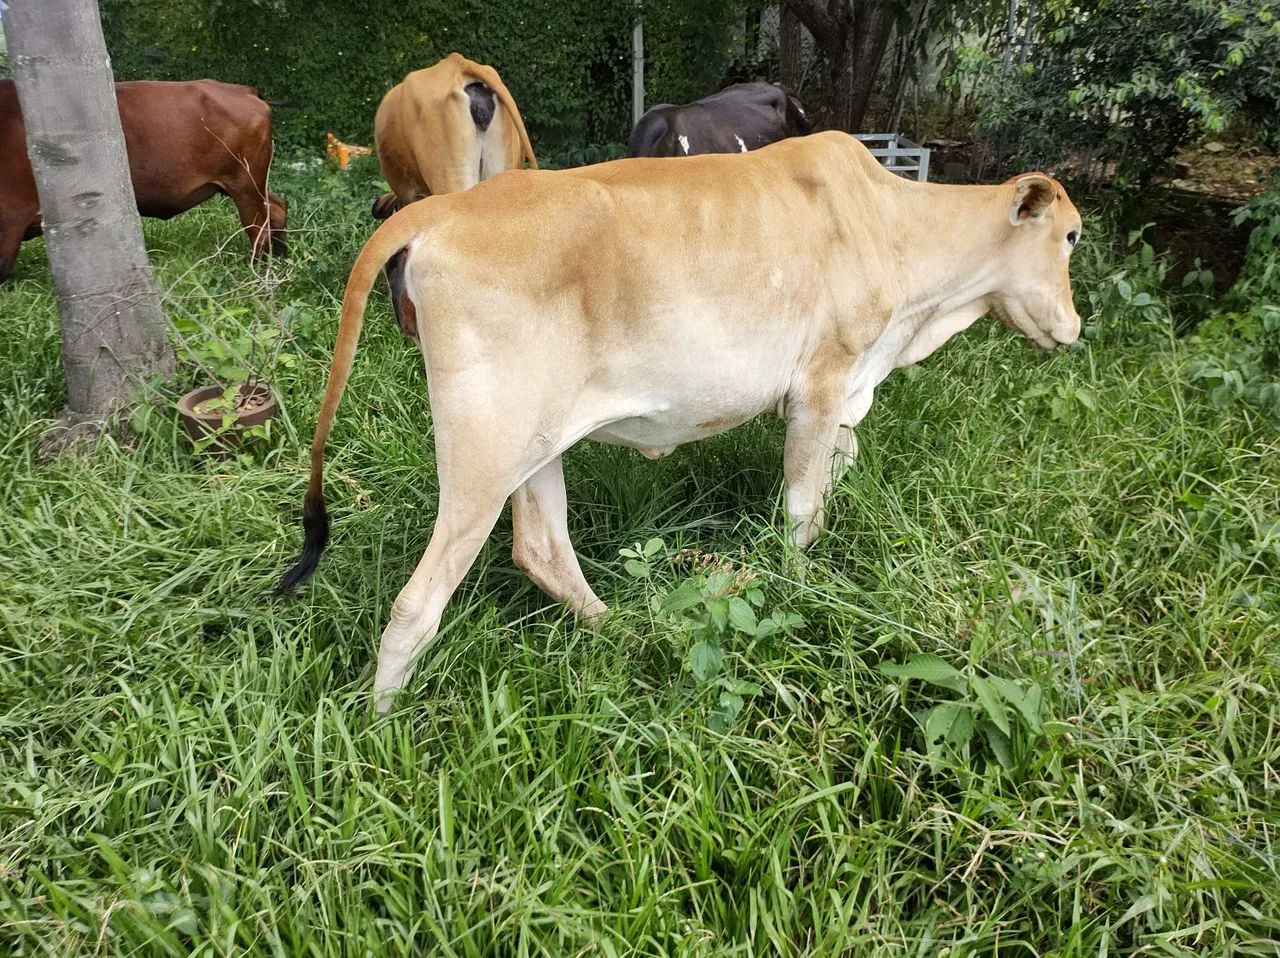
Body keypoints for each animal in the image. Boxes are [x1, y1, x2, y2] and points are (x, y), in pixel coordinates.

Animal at [0, 79, 286, 283]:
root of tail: (242, 90)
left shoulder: (13, 213)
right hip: (250, 182)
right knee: (276, 208)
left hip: (245, 183)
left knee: (258, 225)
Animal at [278, 131, 1084, 712]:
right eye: (1072, 236)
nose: (1075, 328)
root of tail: (442, 208)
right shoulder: (822, 381)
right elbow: (803, 513)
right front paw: (802, 592)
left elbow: (833, 479)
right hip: (484, 450)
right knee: (417, 604)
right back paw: (381, 734)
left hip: (537, 442)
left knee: (542, 547)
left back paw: (632, 634)